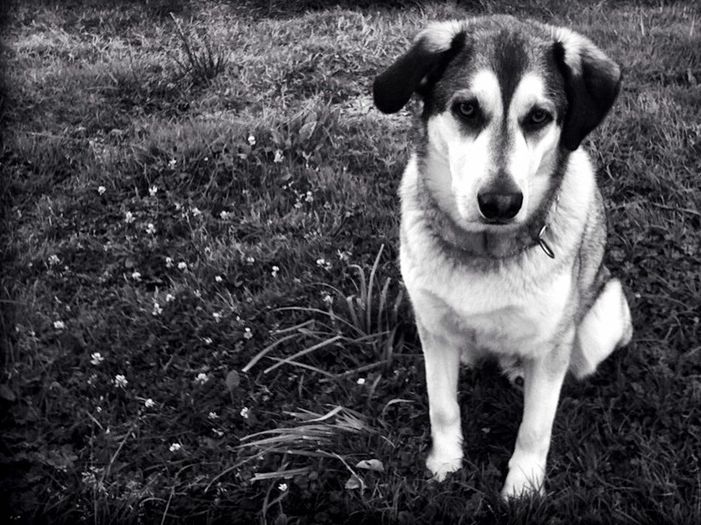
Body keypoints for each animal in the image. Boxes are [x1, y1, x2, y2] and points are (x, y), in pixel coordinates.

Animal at [374, 16, 632, 498]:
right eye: (466, 109)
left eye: (539, 117)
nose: (500, 203)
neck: (485, 251)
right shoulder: (433, 330)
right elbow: (442, 406)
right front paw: (446, 463)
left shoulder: (552, 348)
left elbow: (535, 427)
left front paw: (523, 487)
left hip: (602, 319)